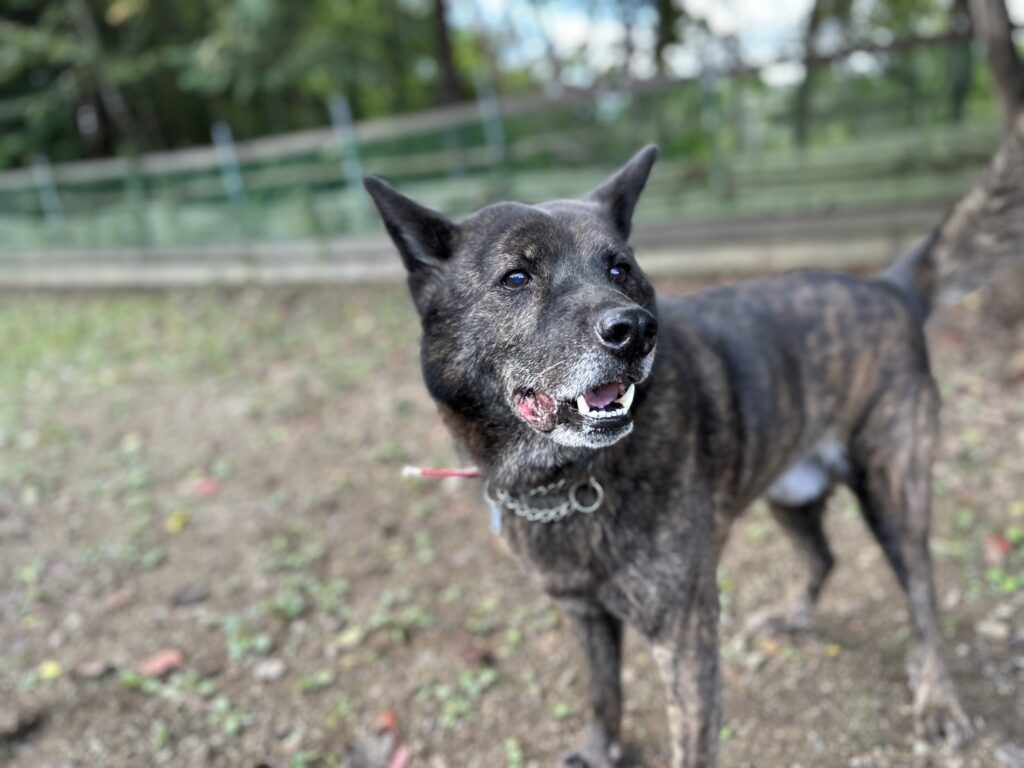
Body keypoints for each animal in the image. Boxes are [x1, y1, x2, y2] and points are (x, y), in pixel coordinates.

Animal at [364, 145, 999, 767]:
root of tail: (890, 288)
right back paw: (790, 618)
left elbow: (690, 739)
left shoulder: (685, 633)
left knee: (923, 599)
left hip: (892, 496)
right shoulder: (585, 614)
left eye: (619, 269)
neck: (570, 481)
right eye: (517, 277)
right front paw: (599, 752)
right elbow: (603, 694)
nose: (634, 330)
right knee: (822, 556)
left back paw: (938, 700)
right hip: (790, 492)